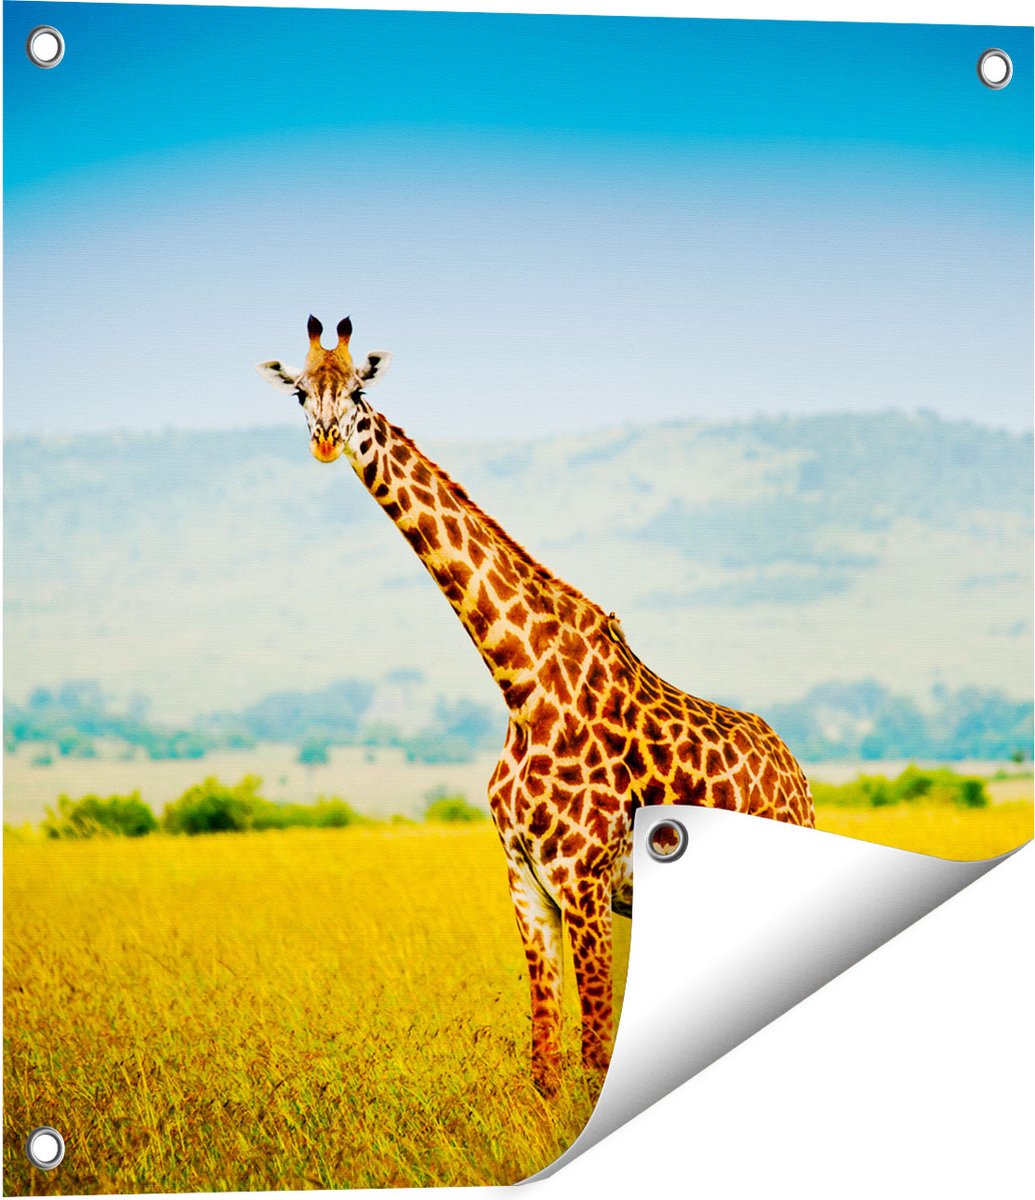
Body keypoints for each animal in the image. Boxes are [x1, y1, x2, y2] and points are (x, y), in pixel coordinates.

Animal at [258, 316, 815, 1098]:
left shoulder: (583, 882)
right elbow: (547, 1063)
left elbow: (594, 1055)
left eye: (360, 390)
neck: (521, 684)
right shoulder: (525, 884)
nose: (327, 441)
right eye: (302, 392)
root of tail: (797, 775)